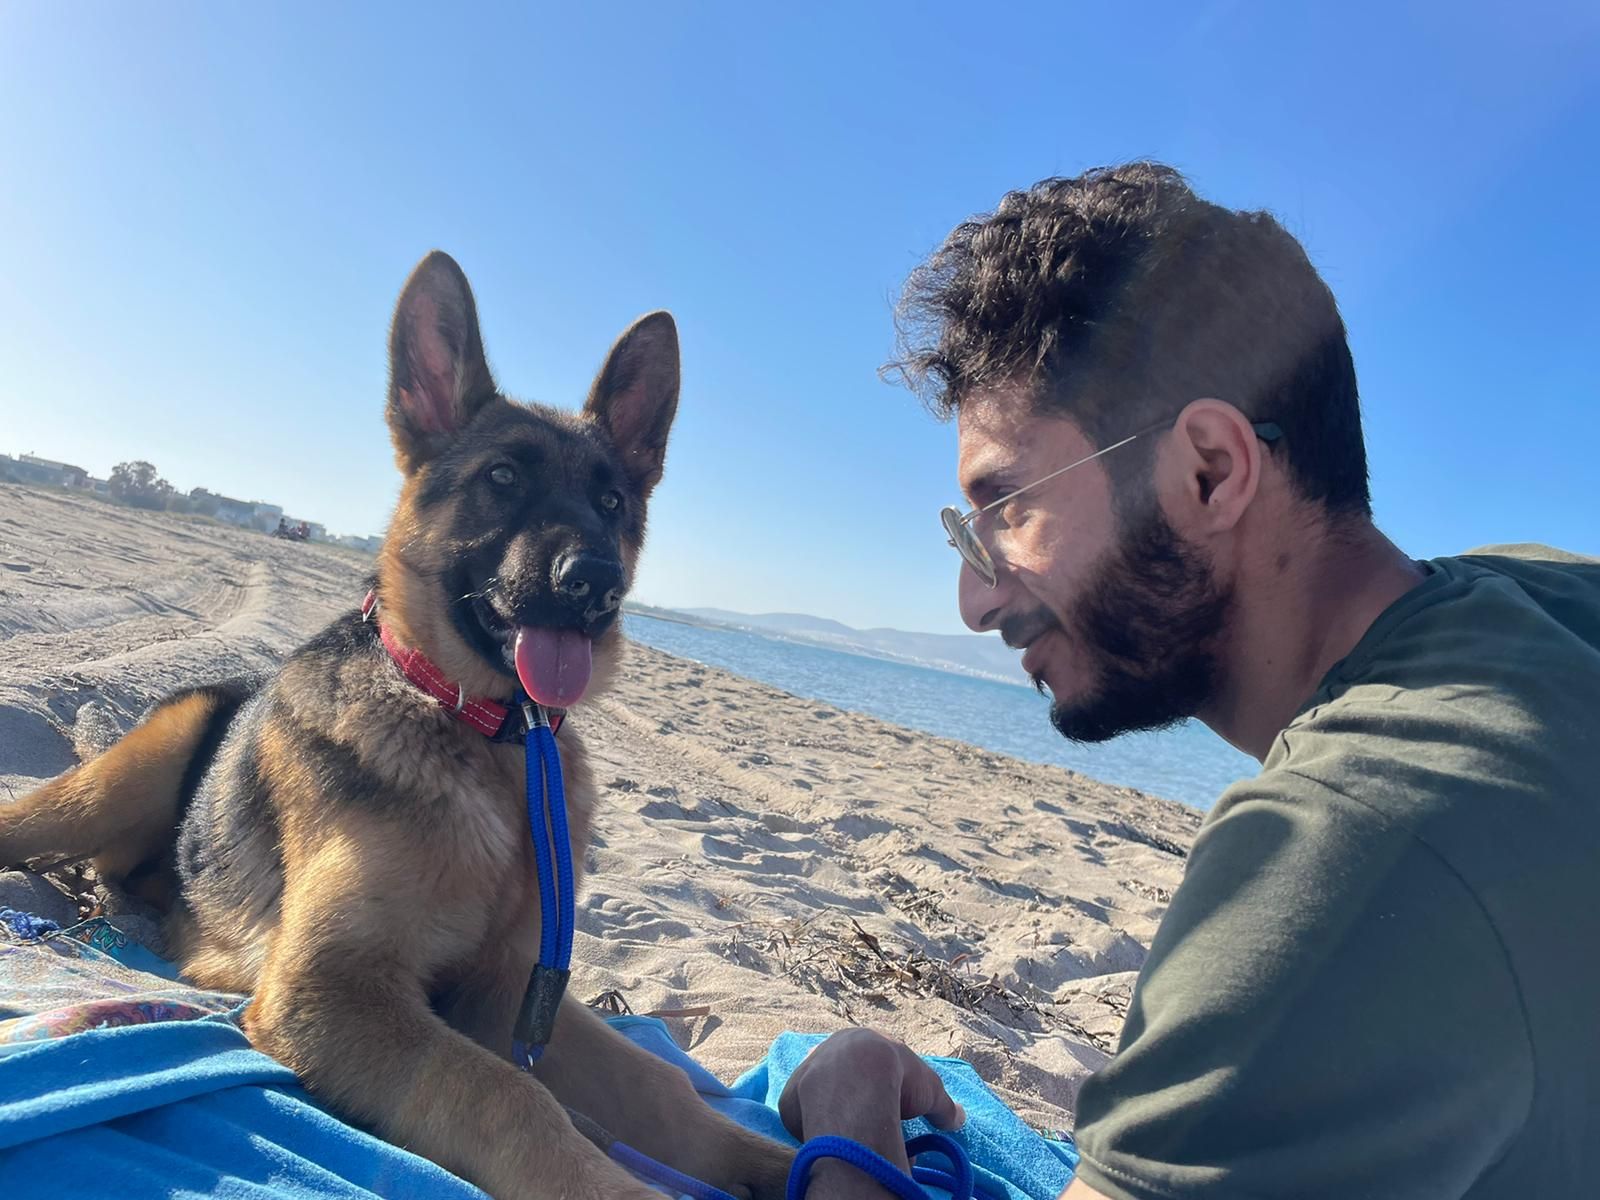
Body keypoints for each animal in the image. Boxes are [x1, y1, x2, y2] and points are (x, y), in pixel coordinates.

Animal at [0, 249, 790, 1196]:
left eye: (610, 502)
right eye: (503, 479)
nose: (596, 582)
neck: (487, 735)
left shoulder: (514, 989)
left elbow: (662, 1090)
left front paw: (790, 1162)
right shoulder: (334, 991)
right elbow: (508, 1095)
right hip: (125, 776)